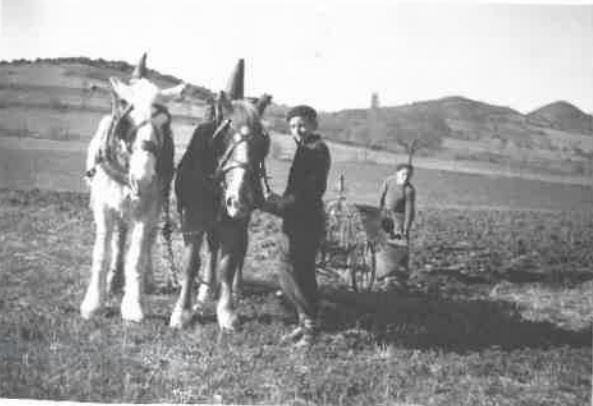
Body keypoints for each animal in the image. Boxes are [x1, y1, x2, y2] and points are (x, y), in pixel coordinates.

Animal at [80, 54, 184, 322]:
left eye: (164, 123)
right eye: (127, 121)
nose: (143, 177)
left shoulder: (147, 209)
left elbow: (136, 255)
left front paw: (133, 305)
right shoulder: (104, 208)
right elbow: (101, 252)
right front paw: (93, 302)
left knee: (148, 240)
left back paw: (145, 280)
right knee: (119, 237)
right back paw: (113, 280)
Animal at [169, 88, 270, 330]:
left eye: (261, 143)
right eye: (224, 138)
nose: (240, 200)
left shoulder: (233, 223)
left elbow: (227, 265)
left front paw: (226, 310)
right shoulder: (191, 220)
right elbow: (191, 263)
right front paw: (183, 310)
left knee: (240, 251)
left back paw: (235, 289)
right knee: (213, 249)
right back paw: (205, 292)